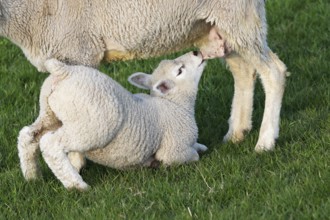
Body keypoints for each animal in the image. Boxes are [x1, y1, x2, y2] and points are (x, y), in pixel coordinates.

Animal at [0, 0, 288, 150]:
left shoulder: (79, 50)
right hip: (217, 25)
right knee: (244, 71)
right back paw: (237, 133)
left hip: (237, 16)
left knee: (274, 72)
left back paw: (265, 141)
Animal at [16, 50, 208, 190]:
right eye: (180, 71)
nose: (197, 52)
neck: (176, 105)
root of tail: (64, 71)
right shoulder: (173, 150)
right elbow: (192, 156)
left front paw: (201, 146)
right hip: (90, 127)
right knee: (51, 144)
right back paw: (77, 185)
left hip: (50, 113)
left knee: (28, 136)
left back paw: (32, 177)